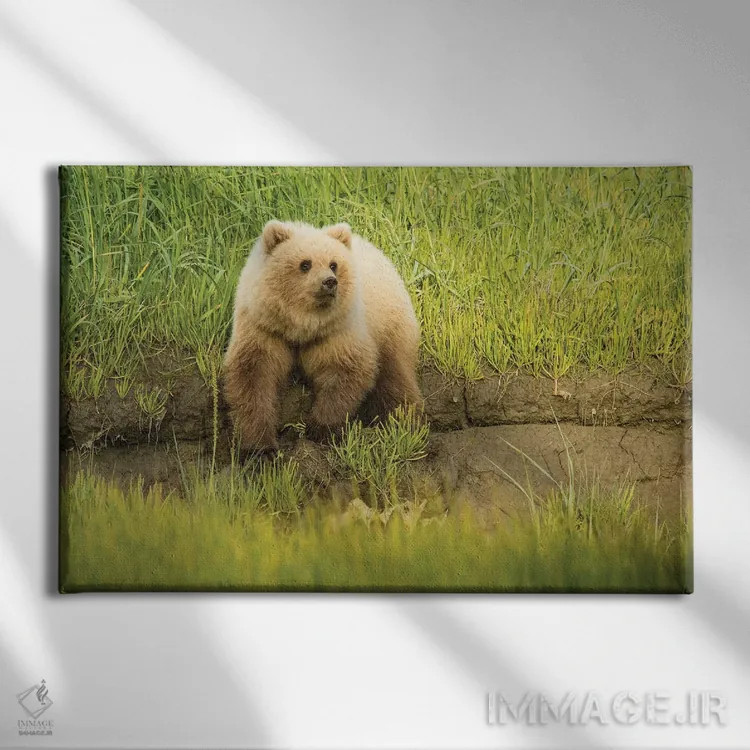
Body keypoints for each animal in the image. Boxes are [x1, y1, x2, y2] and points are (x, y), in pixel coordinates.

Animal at [223, 220, 422, 452]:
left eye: (333, 264)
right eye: (305, 264)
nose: (329, 282)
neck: (300, 326)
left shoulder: (335, 332)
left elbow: (345, 373)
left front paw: (319, 428)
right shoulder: (264, 330)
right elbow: (253, 377)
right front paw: (260, 446)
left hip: (389, 325)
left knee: (394, 378)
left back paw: (404, 421)